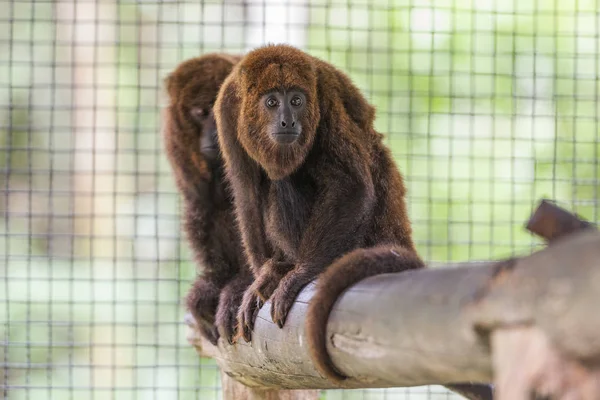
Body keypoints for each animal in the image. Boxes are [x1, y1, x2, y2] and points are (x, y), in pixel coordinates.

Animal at [214, 45, 492, 398]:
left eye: (297, 100)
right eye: (272, 102)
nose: (288, 120)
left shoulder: (325, 98)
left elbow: (351, 185)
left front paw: (297, 274)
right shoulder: (226, 109)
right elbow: (246, 192)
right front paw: (264, 278)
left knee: (289, 178)